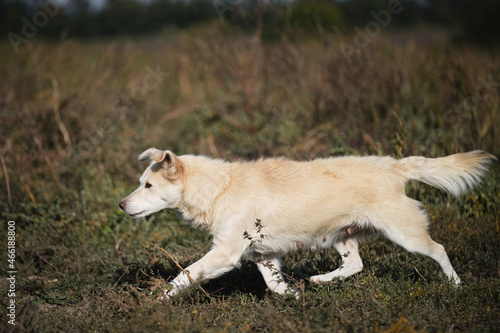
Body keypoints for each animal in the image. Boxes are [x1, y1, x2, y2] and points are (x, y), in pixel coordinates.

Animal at [119, 149, 494, 296]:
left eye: (147, 186)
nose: (121, 205)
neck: (219, 188)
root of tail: (395, 165)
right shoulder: (263, 255)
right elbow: (275, 286)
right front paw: (294, 298)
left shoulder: (225, 253)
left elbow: (184, 276)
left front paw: (157, 301)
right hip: (342, 236)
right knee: (355, 265)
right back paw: (321, 281)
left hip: (405, 234)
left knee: (439, 249)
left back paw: (456, 285)